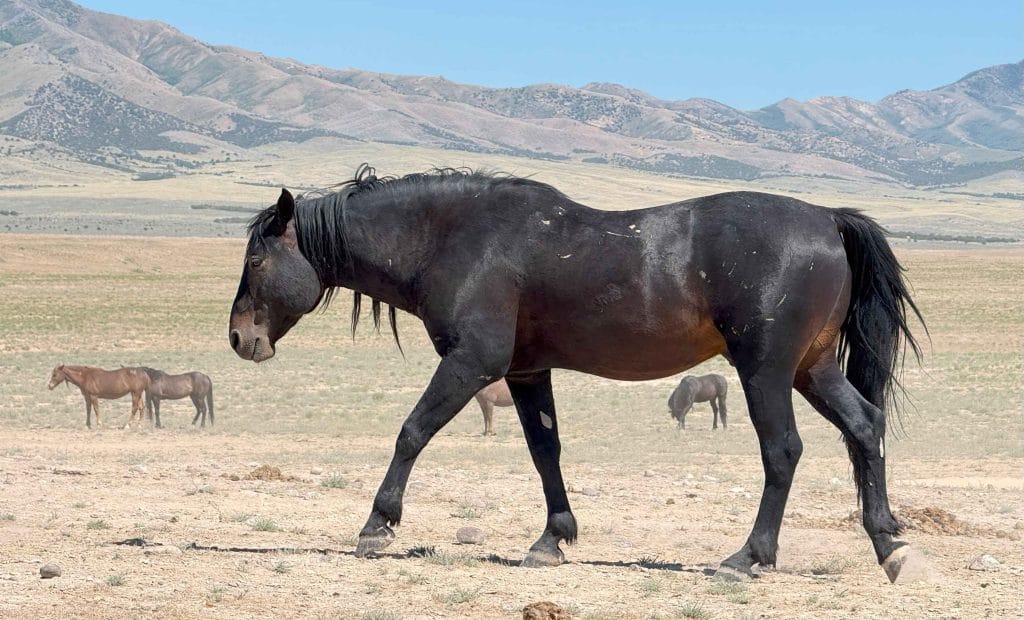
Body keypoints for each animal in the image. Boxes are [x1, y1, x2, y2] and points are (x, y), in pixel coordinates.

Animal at [227, 164, 924, 583]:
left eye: (257, 261)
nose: (239, 338)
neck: (454, 238)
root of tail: (826, 219)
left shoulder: (471, 363)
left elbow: (411, 432)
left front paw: (378, 526)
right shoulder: (527, 372)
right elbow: (546, 452)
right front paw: (552, 540)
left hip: (766, 370)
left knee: (783, 450)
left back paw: (748, 556)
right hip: (812, 370)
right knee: (864, 428)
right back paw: (888, 543)